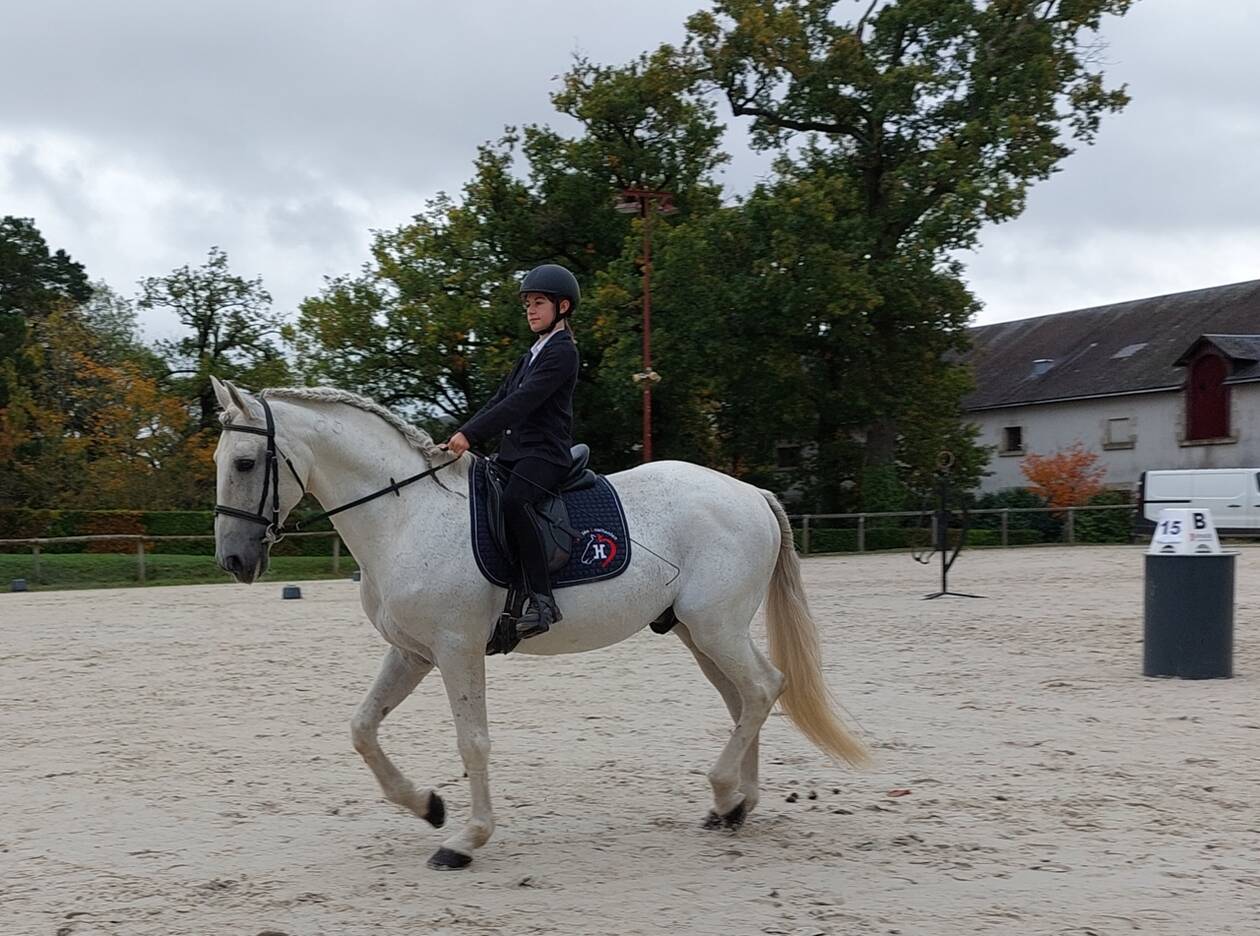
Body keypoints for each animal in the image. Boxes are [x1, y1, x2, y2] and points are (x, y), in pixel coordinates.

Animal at [211, 377, 871, 871]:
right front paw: (428, 806)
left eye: (244, 462)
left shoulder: (456, 649)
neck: (405, 515)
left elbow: (472, 741)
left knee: (762, 688)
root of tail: (750, 492)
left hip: (716, 627)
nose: (235, 561)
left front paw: (464, 840)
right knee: (744, 700)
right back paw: (735, 807)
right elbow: (362, 729)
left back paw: (722, 790)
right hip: (698, 632)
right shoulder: (413, 652)